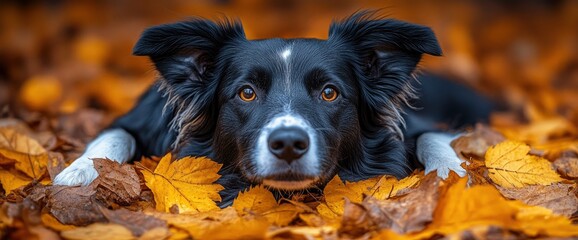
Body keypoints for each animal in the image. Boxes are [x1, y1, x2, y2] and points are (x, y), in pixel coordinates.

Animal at [54, 11, 490, 205]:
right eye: (246, 93)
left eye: (329, 93)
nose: (289, 144)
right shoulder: (140, 118)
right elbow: (113, 135)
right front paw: (75, 173)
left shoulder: (416, 126)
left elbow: (434, 138)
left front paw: (451, 175)